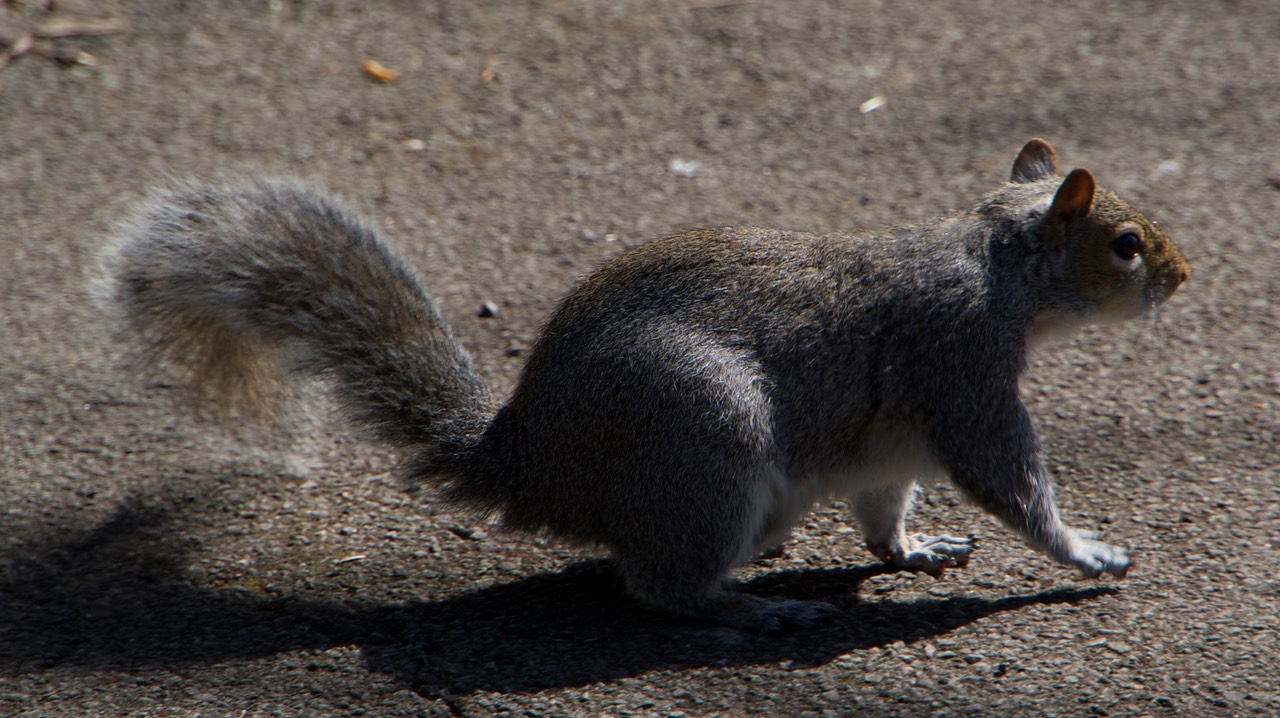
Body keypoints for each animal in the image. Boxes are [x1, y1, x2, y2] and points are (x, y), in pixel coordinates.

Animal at [104, 139, 1189, 631]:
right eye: (1125, 246)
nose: (1184, 276)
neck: (1000, 274)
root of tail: (531, 462)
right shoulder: (961, 369)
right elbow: (1012, 481)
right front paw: (1084, 550)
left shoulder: (891, 448)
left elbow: (885, 509)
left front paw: (915, 548)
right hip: (704, 435)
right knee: (658, 588)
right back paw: (754, 610)